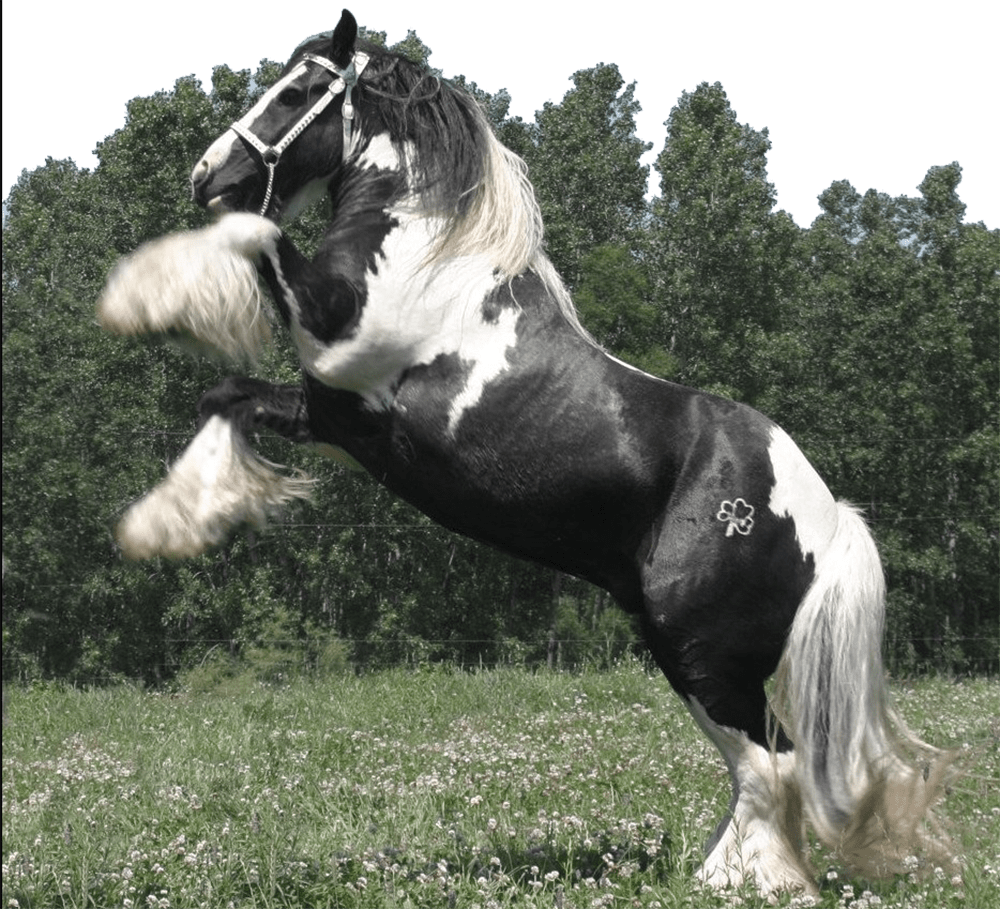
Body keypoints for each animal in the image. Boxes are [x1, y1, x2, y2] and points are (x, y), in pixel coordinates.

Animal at [97, 8, 953, 896]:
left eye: (297, 92)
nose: (207, 175)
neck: (425, 253)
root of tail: (827, 516)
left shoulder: (337, 351)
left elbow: (254, 230)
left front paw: (135, 297)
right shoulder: (329, 415)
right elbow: (225, 396)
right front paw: (164, 524)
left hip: (704, 651)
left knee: (769, 766)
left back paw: (754, 884)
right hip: (690, 652)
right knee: (760, 769)